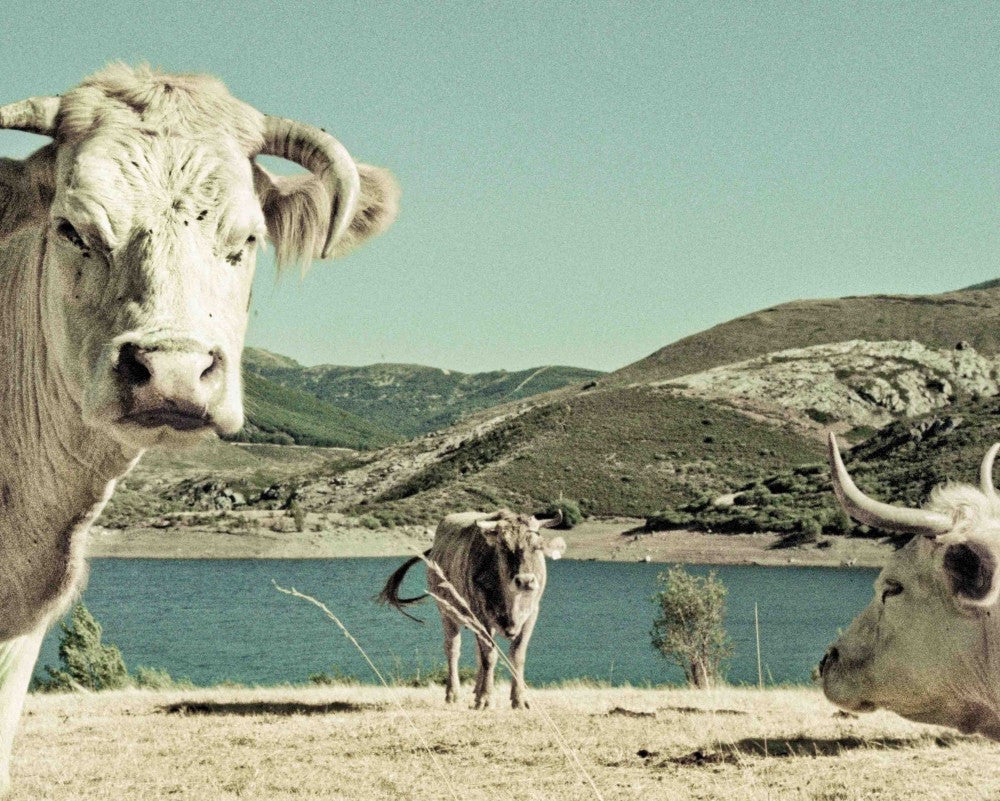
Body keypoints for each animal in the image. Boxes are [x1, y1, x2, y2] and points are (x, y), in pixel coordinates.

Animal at [379, 510, 565, 709]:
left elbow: (517, 655)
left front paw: (519, 699)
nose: (525, 581)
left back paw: (476, 691)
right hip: (447, 612)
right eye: (503, 547)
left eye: (537, 547)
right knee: (453, 649)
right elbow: (489, 656)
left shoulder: (531, 615)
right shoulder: (481, 616)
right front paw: (485, 699)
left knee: (477, 653)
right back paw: (453, 694)